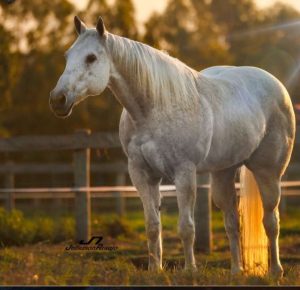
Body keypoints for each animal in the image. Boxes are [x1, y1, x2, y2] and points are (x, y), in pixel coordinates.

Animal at [49, 17, 296, 278]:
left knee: (271, 221)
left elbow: (186, 227)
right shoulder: (142, 175)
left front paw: (190, 271)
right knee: (232, 222)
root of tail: (278, 87)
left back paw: (275, 271)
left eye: (91, 58)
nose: (58, 100)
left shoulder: (183, 172)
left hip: (268, 172)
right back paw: (236, 272)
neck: (153, 109)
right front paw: (154, 270)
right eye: (67, 56)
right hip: (223, 173)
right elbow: (152, 226)